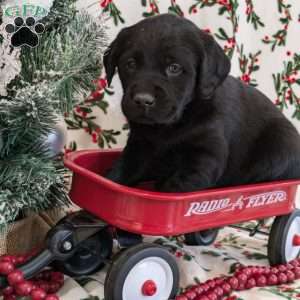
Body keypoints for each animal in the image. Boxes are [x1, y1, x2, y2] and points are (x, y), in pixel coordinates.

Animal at [103, 13, 300, 192]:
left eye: (174, 68)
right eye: (130, 64)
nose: (143, 100)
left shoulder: (205, 157)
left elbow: (174, 189)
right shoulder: (139, 145)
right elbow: (118, 174)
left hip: (280, 144)